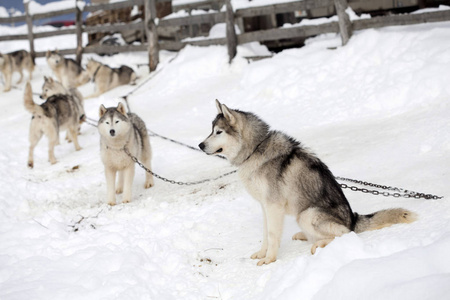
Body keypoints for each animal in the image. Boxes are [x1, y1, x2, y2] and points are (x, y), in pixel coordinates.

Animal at [199, 100, 416, 264]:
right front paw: (262, 254)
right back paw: (304, 236)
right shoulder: (265, 206)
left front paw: (269, 259)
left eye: (218, 132)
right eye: (211, 130)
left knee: (345, 234)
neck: (256, 149)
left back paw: (318, 244)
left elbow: (272, 234)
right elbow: (266, 233)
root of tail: (353, 219)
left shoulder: (273, 206)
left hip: (307, 214)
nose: (200, 145)